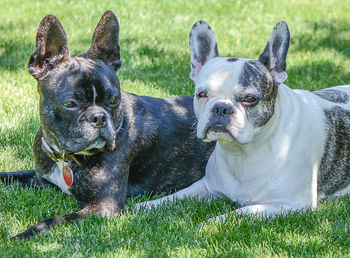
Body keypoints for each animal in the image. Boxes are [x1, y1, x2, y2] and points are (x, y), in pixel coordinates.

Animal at [137, 21, 350, 221]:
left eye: (249, 99)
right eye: (201, 94)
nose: (221, 107)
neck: (244, 153)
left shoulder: (291, 205)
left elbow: (241, 212)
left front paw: (211, 223)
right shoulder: (207, 186)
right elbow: (175, 196)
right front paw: (146, 205)